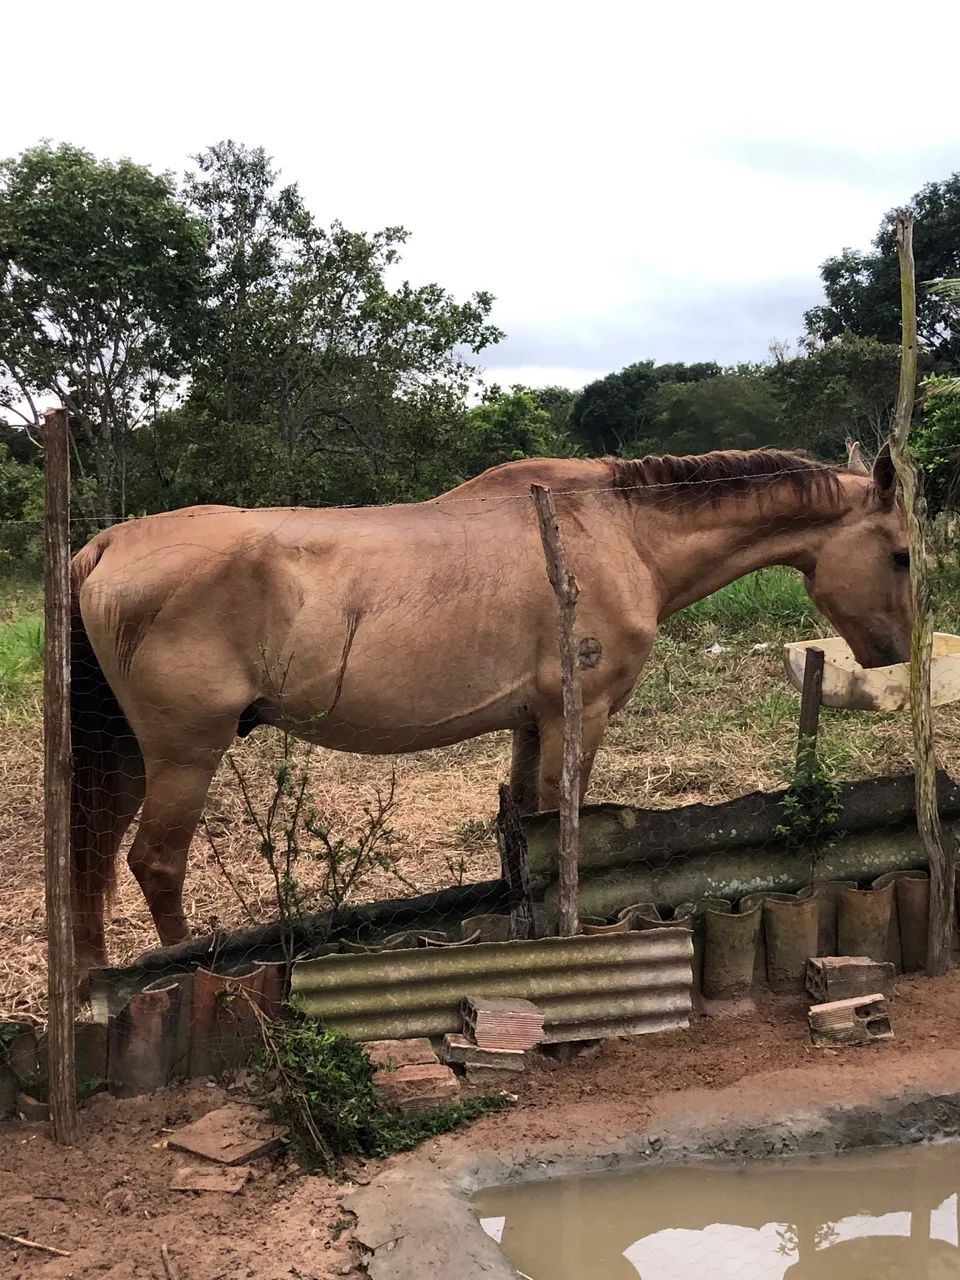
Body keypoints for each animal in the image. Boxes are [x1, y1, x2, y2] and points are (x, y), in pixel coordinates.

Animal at [69, 441, 911, 980]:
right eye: (901, 553)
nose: (896, 652)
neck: (616, 531)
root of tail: (106, 545)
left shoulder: (532, 723)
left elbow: (528, 828)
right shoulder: (580, 717)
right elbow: (564, 821)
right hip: (185, 753)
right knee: (155, 862)